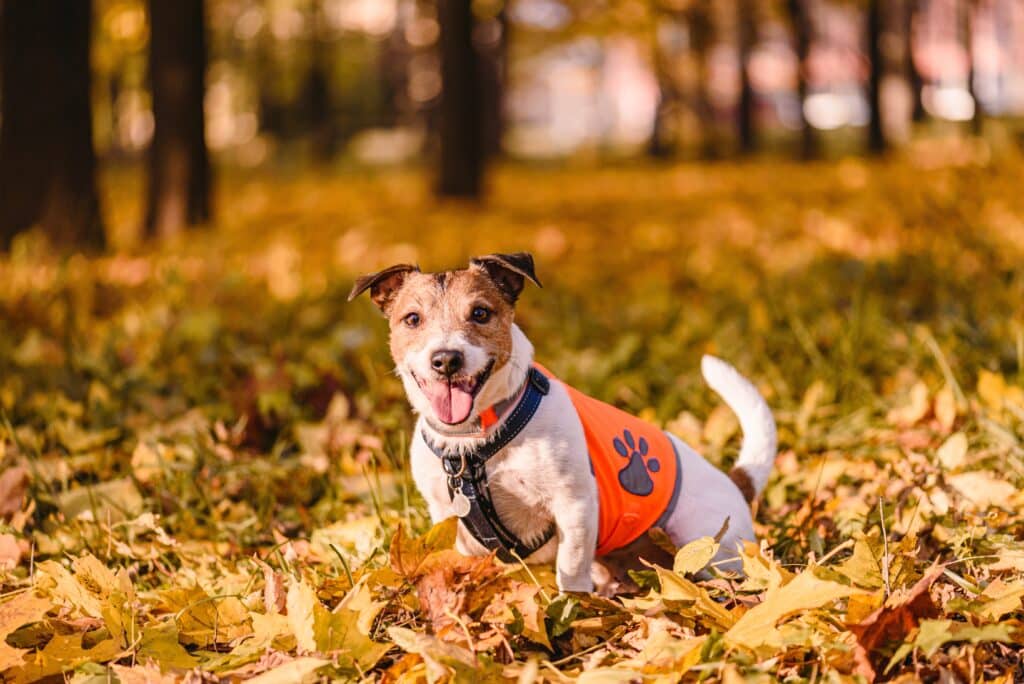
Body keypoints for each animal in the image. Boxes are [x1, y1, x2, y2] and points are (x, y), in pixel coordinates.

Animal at [352, 252, 774, 593]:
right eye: (412, 319)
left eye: (480, 313)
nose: (446, 359)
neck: (475, 441)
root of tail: (736, 483)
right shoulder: (447, 517)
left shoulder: (575, 505)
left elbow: (570, 568)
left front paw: (574, 608)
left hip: (705, 544)